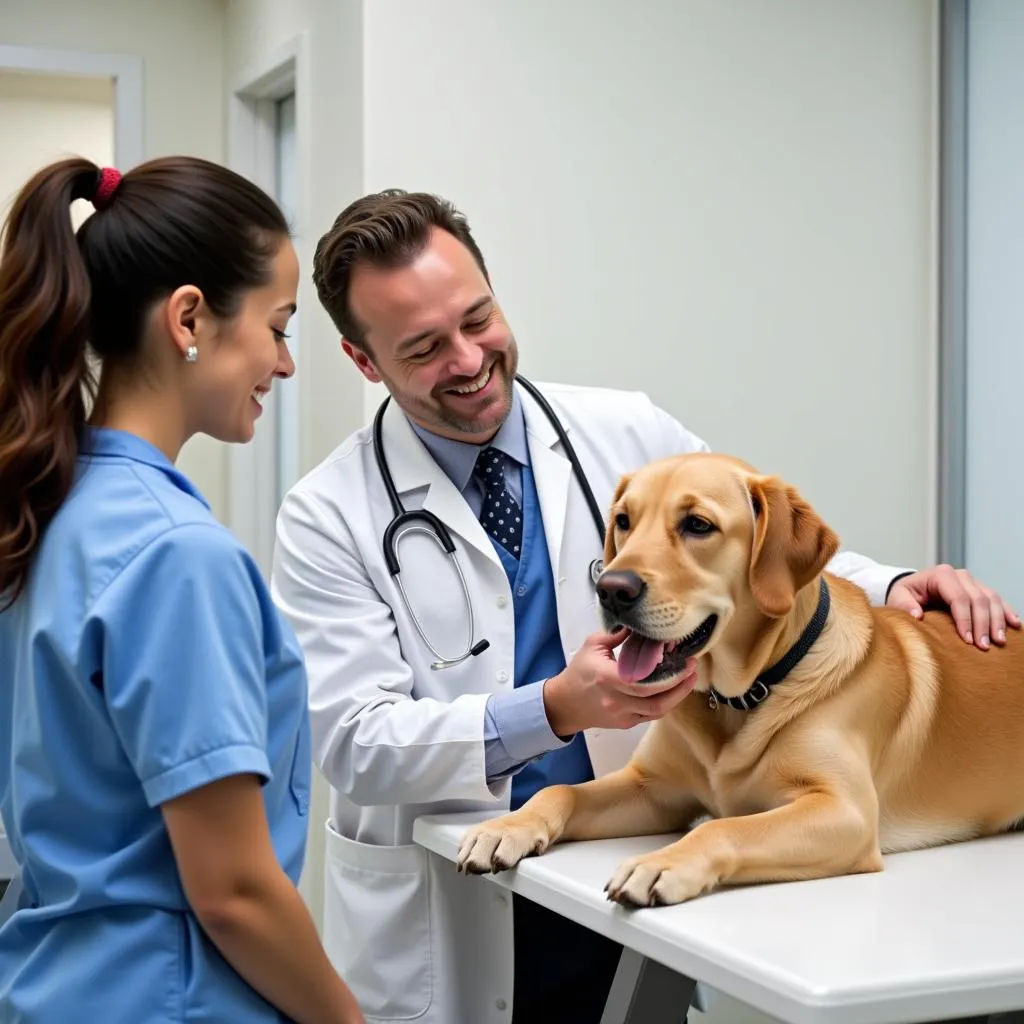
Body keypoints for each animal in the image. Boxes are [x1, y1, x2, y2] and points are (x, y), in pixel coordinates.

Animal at [460, 452, 1024, 909]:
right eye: (623, 521)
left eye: (697, 525)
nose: (611, 589)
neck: (744, 694)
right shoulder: (654, 789)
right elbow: (561, 792)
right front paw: (506, 826)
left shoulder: (845, 810)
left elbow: (723, 826)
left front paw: (661, 863)